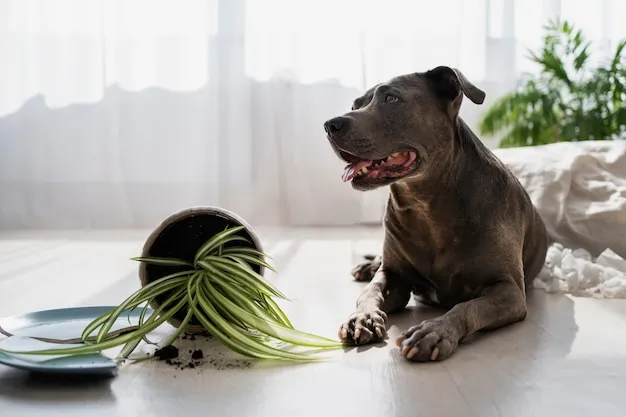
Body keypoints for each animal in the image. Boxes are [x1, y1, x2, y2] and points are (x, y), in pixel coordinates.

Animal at [322, 66, 544, 360]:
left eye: (391, 99)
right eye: (355, 105)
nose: (329, 125)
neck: (425, 206)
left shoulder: (509, 291)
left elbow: (468, 307)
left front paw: (435, 331)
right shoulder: (393, 275)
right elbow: (371, 292)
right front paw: (362, 317)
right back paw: (367, 266)